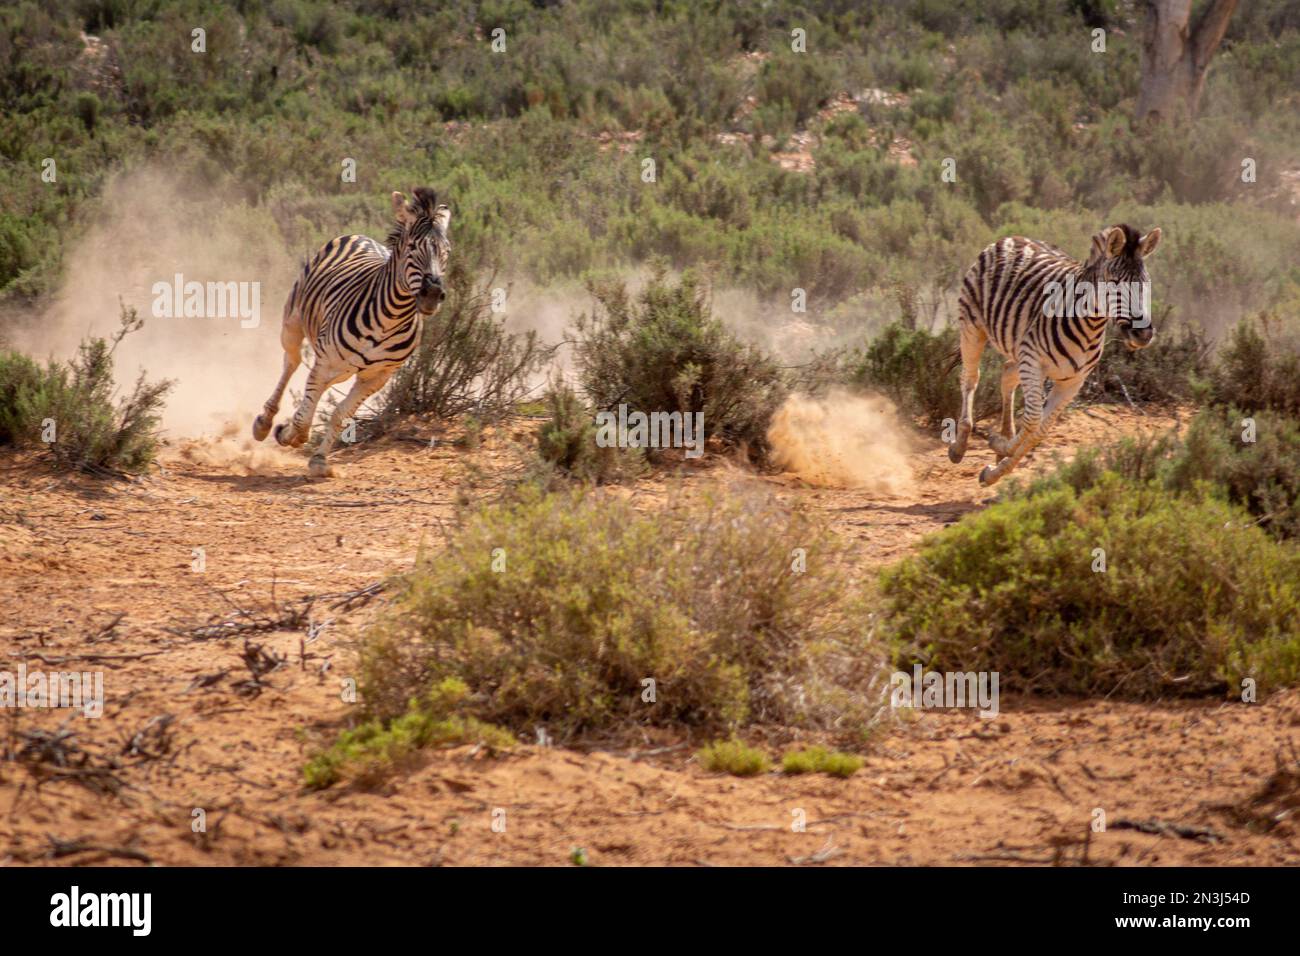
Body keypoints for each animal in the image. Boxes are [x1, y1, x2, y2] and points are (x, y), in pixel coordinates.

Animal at [249, 187, 452, 478]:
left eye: (446, 252)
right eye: (413, 247)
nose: (432, 294)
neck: (390, 318)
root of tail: (359, 236)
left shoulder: (377, 377)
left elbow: (340, 414)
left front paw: (319, 459)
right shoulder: (325, 362)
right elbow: (303, 417)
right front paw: (289, 434)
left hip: (341, 367)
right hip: (294, 324)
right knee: (291, 363)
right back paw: (265, 422)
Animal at [946, 223, 1170, 486]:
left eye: (1145, 283)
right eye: (1114, 282)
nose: (1143, 334)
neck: (1089, 326)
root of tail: (1013, 237)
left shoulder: (1072, 382)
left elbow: (1040, 431)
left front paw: (996, 467)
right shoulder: (1033, 362)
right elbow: (1032, 420)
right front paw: (1000, 446)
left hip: (1018, 349)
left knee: (1006, 374)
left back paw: (1004, 435)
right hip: (973, 326)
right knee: (970, 378)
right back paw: (959, 445)